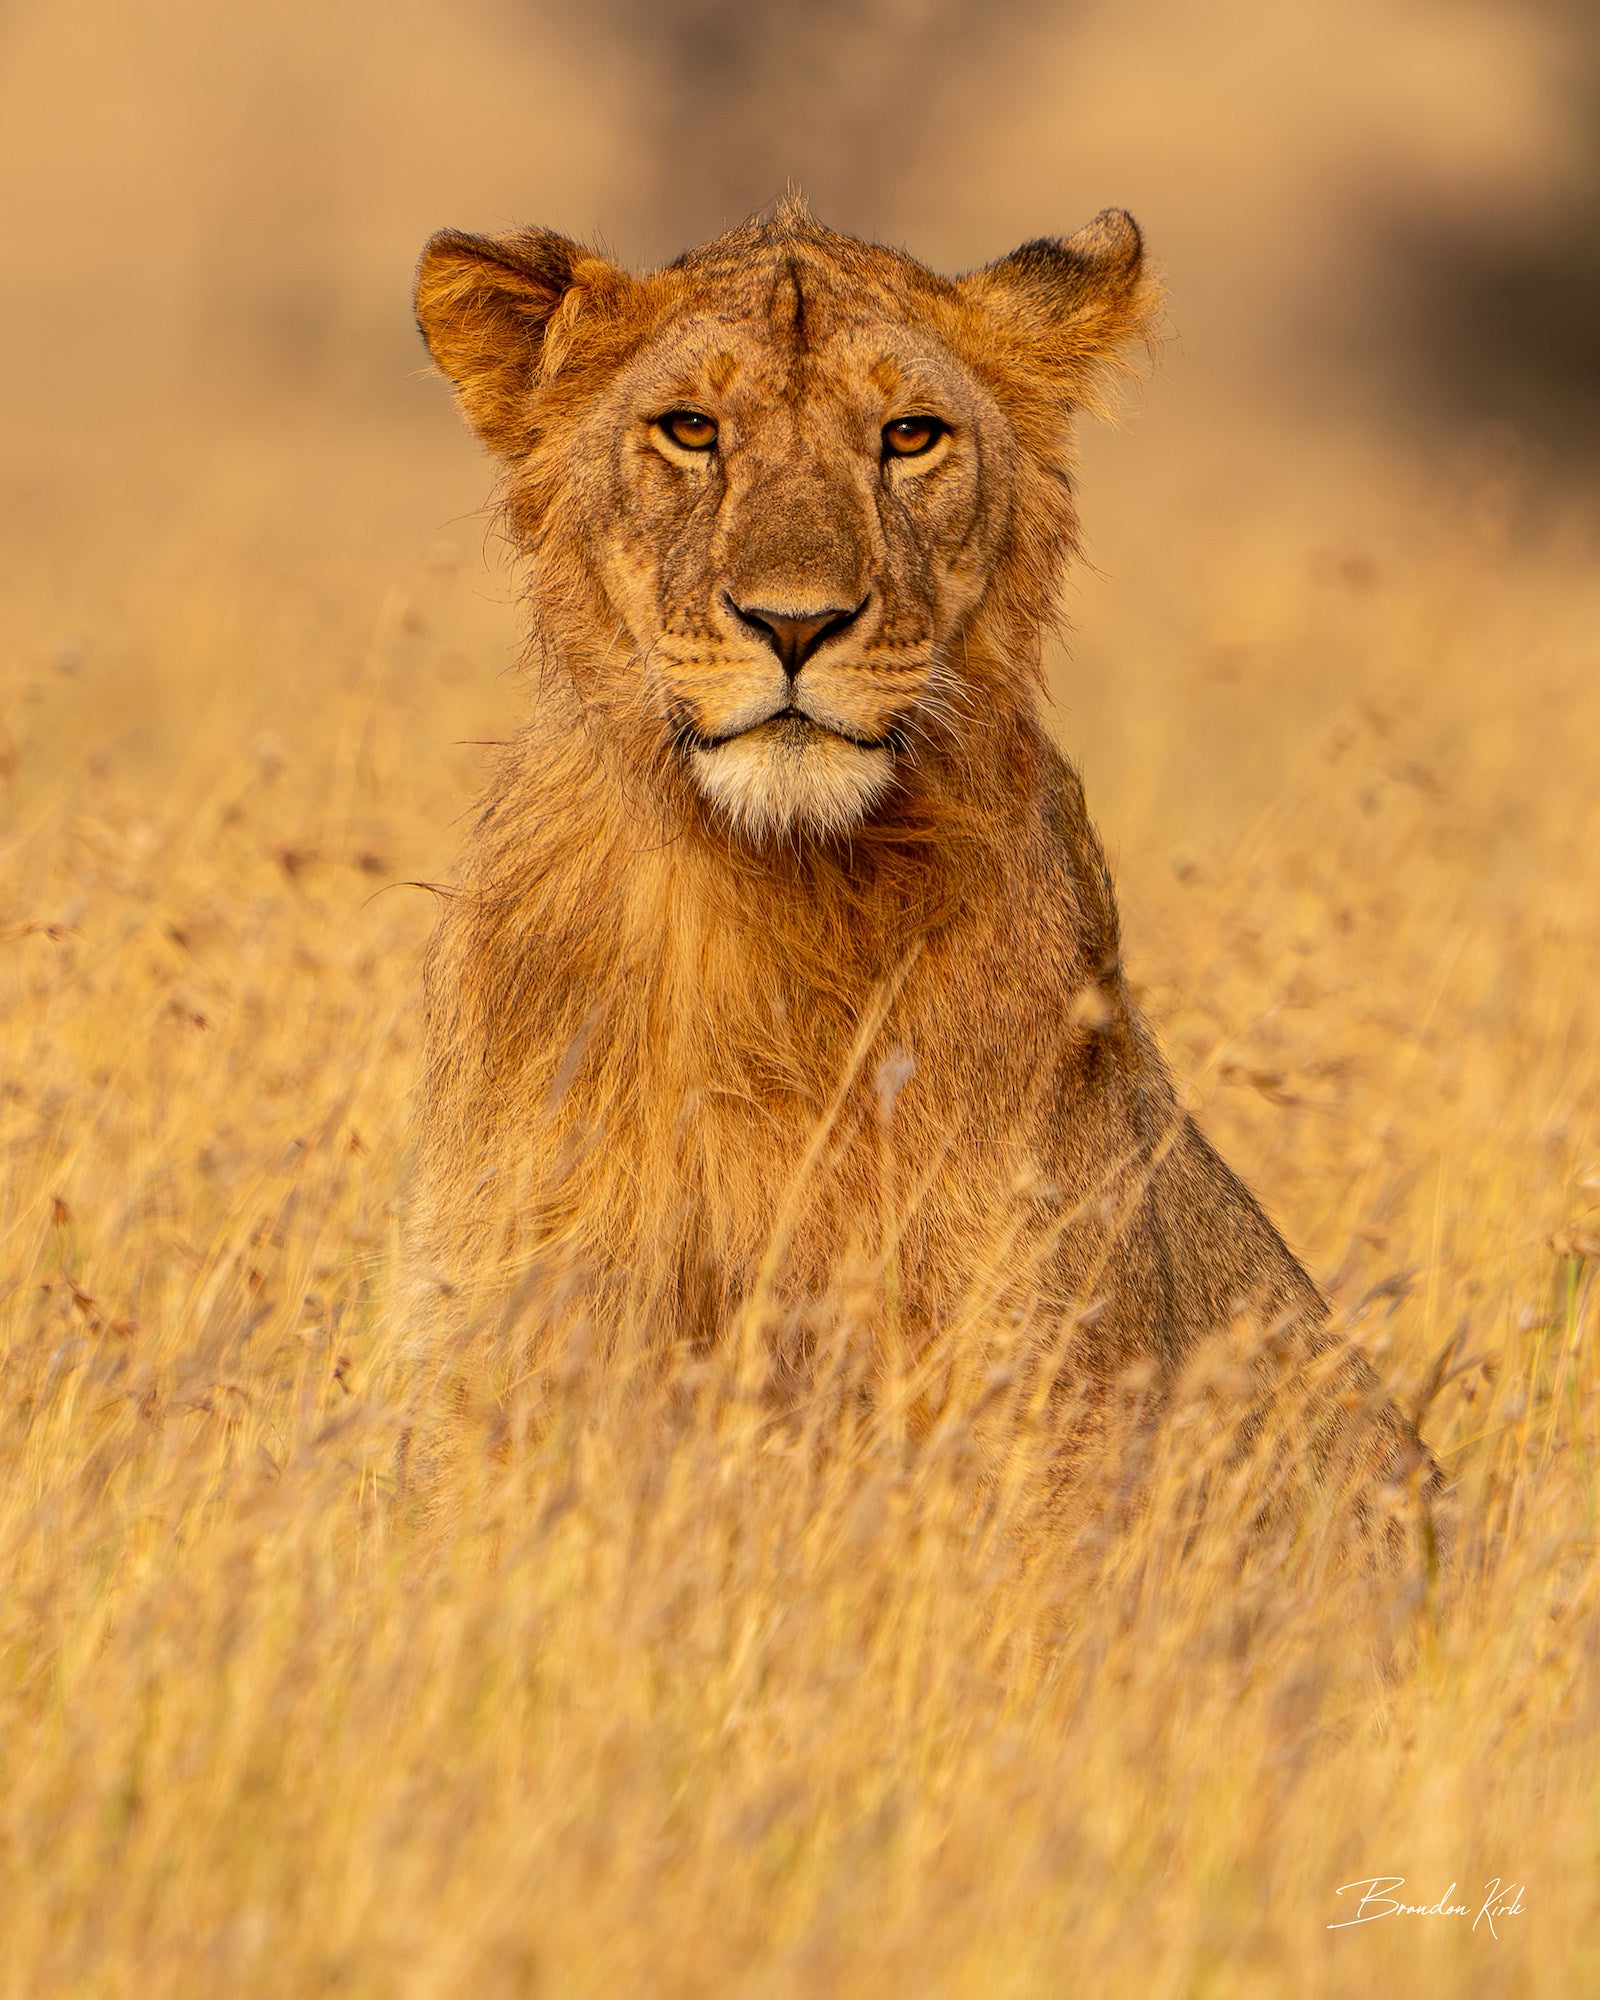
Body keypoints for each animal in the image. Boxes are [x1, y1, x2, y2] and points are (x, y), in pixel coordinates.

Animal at [406, 195, 1438, 1523]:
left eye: (909, 436)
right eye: (691, 429)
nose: (795, 623)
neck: (769, 896)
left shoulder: (1027, 1360)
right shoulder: (512, 1313)